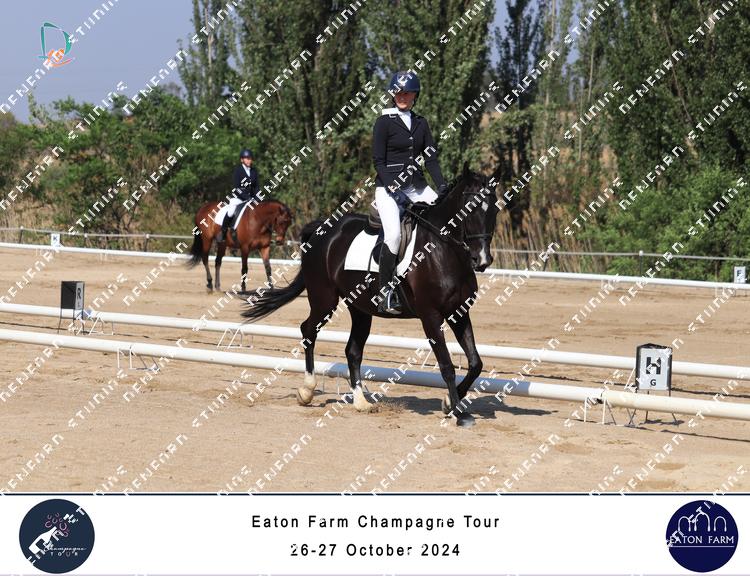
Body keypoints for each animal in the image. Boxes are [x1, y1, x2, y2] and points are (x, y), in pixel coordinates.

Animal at [241, 163, 499, 427]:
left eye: (495, 209)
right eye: (470, 209)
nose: (482, 260)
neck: (443, 251)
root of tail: (324, 229)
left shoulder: (459, 312)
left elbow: (476, 363)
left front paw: (449, 402)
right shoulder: (431, 316)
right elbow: (447, 365)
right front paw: (459, 413)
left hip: (360, 308)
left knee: (352, 351)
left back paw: (361, 401)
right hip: (324, 300)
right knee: (308, 330)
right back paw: (306, 391)